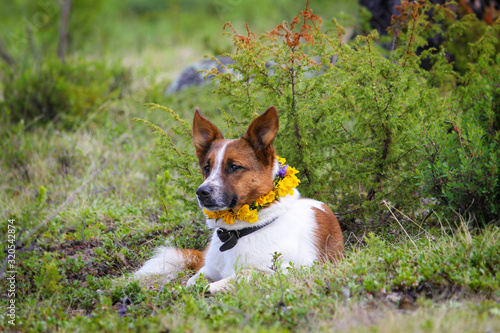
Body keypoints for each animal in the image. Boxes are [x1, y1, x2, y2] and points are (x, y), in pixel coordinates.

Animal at [134, 105, 344, 290]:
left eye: (234, 167)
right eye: (207, 167)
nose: (201, 192)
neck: (239, 232)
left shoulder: (287, 270)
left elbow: (242, 275)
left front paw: (214, 287)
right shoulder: (208, 270)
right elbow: (193, 281)